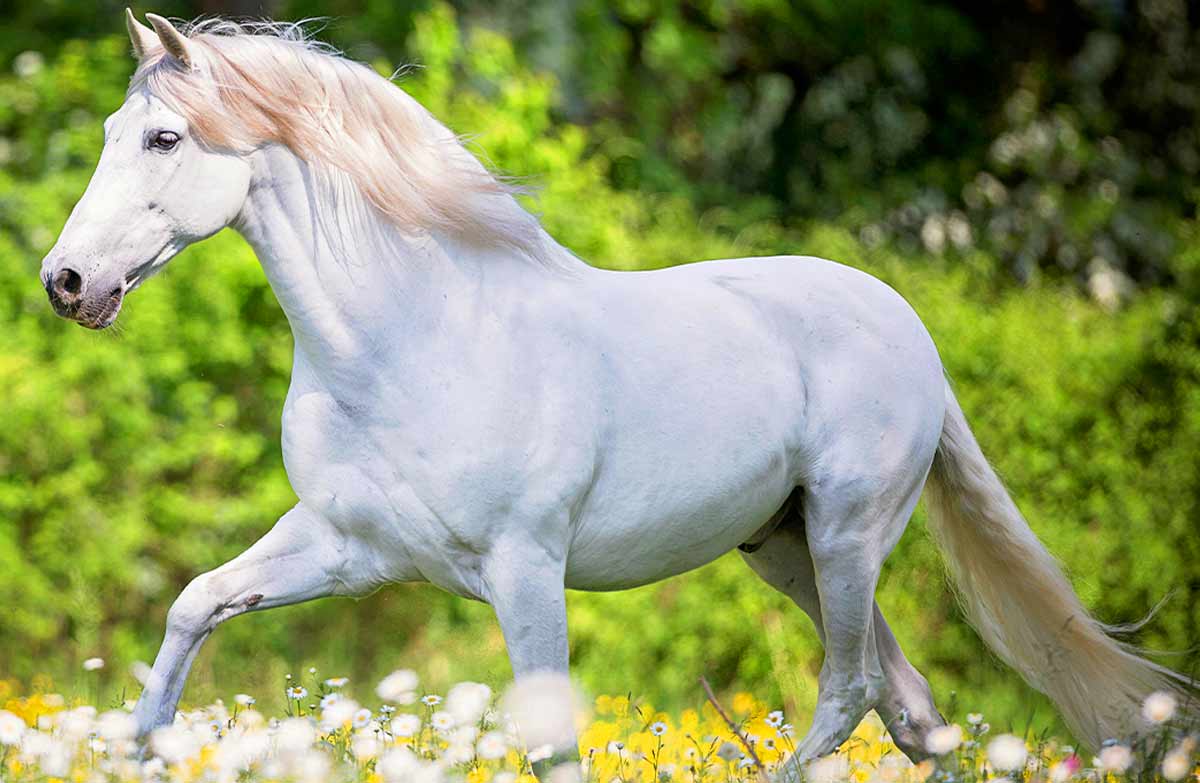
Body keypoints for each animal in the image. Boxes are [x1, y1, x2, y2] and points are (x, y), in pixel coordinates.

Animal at [40, 10, 1190, 775]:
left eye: (164, 138)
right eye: (106, 135)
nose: (67, 283)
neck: (412, 345)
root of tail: (911, 333)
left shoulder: (524, 567)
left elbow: (552, 744)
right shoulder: (346, 548)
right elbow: (195, 603)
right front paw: (141, 749)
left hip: (849, 533)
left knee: (851, 692)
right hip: (783, 547)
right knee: (912, 709)